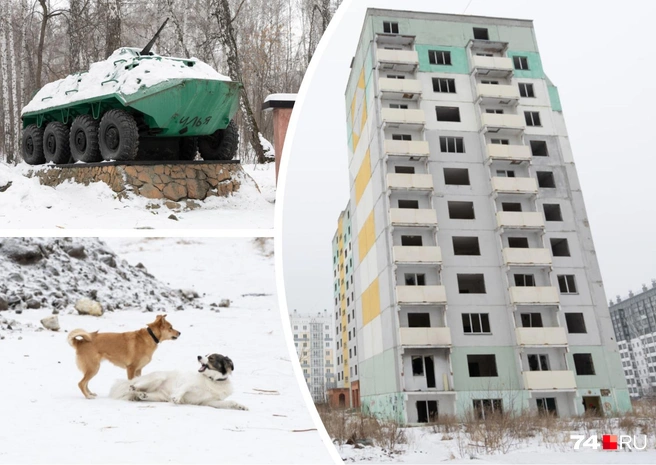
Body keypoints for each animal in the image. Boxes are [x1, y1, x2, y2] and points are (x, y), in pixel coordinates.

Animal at [110, 354, 249, 408]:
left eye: (211, 358)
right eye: (205, 354)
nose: (198, 356)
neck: (213, 381)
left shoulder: (210, 401)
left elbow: (230, 402)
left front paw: (240, 406)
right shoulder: (188, 384)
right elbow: (182, 389)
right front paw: (177, 398)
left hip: (160, 396)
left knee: (143, 394)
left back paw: (142, 395)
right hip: (158, 377)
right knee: (133, 385)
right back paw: (134, 388)